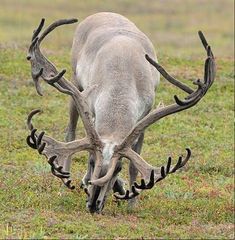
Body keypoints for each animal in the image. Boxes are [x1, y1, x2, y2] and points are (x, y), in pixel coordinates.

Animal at [25, 12, 215, 213]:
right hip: (75, 83)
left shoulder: (143, 117)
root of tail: (101, 13)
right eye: (92, 162)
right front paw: (90, 183)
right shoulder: (91, 107)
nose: (94, 205)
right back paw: (66, 182)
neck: (120, 87)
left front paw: (131, 201)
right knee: (70, 132)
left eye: (118, 168)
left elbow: (134, 163)